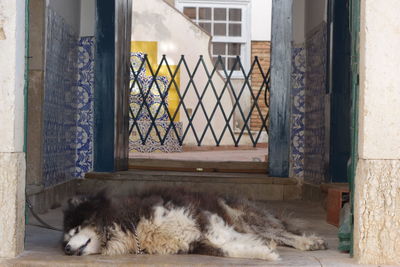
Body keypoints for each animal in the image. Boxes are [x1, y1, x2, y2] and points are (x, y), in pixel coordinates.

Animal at [61, 187, 324, 260]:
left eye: (75, 229)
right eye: (65, 239)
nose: (66, 249)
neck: (135, 226)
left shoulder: (202, 217)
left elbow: (226, 239)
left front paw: (263, 251)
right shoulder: (195, 243)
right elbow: (228, 249)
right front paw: (263, 252)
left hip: (247, 218)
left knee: (283, 232)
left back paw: (309, 242)